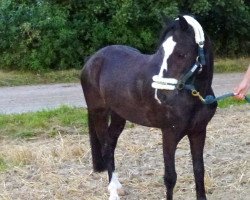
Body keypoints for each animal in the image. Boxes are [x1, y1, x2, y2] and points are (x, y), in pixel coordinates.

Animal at [80, 14, 217, 199]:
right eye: (161, 53)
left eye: (181, 54)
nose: (162, 95)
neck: (193, 97)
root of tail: (92, 60)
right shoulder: (169, 134)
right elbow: (170, 177)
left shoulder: (198, 132)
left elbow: (199, 170)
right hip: (98, 113)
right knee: (106, 147)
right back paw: (113, 191)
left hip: (118, 116)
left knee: (111, 144)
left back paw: (118, 186)